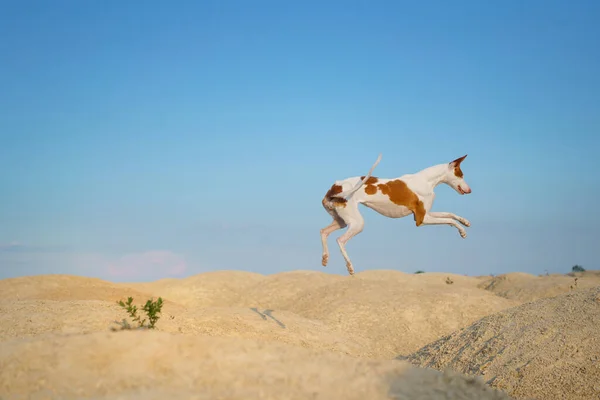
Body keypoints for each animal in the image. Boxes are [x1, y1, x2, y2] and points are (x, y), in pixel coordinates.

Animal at [322, 153, 472, 276]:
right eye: (461, 175)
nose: (470, 190)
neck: (426, 180)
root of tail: (334, 188)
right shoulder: (422, 219)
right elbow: (449, 220)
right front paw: (462, 231)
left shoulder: (424, 214)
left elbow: (450, 214)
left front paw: (464, 222)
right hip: (357, 223)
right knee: (340, 240)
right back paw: (350, 266)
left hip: (341, 221)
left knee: (323, 232)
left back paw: (325, 258)